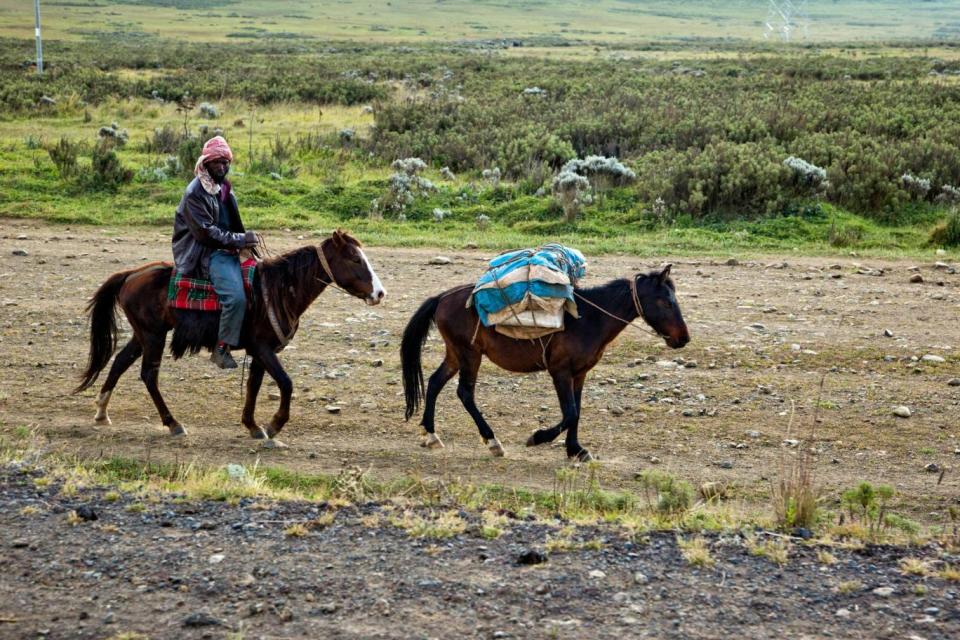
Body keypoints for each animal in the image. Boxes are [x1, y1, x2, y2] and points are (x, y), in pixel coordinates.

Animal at [75, 230, 384, 444]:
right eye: (355, 258)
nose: (380, 293)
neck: (278, 289)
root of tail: (131, 274)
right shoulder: (262, 347)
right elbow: (286, 383)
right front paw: (274, 425)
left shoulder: (261, 352)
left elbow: (254, 386)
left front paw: (253, 426)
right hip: (153, 337)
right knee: (149, 375)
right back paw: (173, 423)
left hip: (144, 335)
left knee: (119, 362)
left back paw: (102, 412)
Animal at [402, 264, 688, 460]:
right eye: (665, 301)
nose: (683, 338)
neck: (589, 318)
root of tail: (442, 297)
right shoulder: (560, 371)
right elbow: (570, 413)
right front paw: (538, 437)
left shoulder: (579, 374)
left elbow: (577, 411)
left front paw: (576, 450)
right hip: (469, 355)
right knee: (465, 393)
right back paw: (492, 441)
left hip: (455, 354)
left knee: (435, 382)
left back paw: (431, 434)